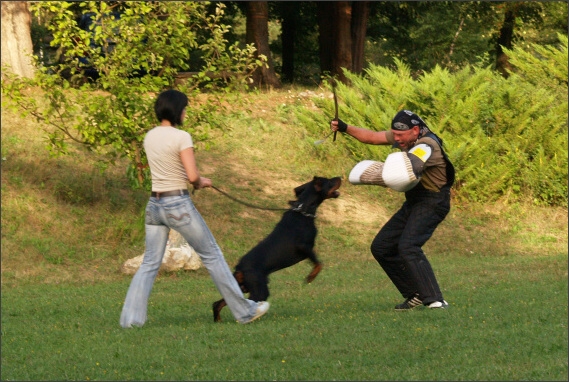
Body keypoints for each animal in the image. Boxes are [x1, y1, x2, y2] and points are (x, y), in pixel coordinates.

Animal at [211, 177, 340, 322]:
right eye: (329, 181)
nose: (340, 178)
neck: (304, 211)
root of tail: (240, 267)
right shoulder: (304, 246)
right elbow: (319, 263)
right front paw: (310, 277)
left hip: (242, 286)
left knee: (219, 303)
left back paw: (219, 320)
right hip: (259, 288)